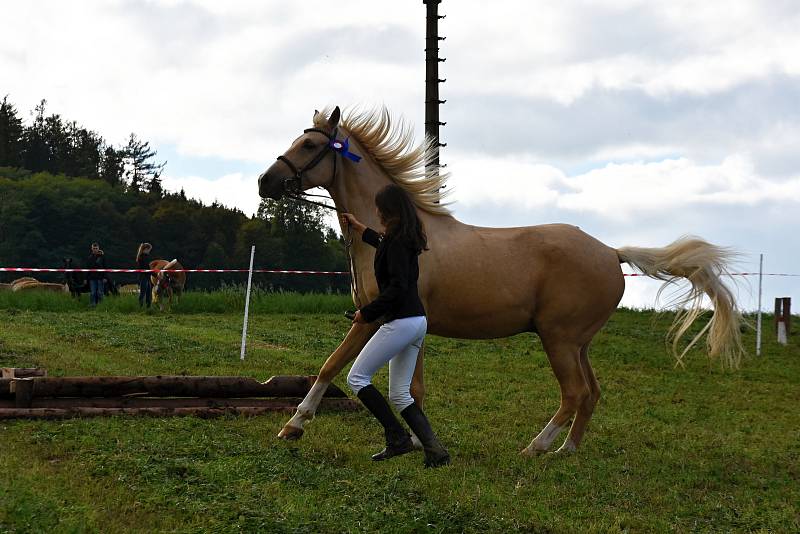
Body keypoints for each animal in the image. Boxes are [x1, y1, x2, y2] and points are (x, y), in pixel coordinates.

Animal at [258, 108, 744, 456]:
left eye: (308, 144)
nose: (266, 182)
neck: (394, 231)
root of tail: (611, 252)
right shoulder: (409, 327)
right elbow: (412, 388)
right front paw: (417, 442)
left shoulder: (372, 318)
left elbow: (330, 365)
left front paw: (293, 425)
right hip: (579, 343)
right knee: (591, 393)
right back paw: (566, 451)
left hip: (558, 339)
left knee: (574, 393)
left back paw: (535, 448)